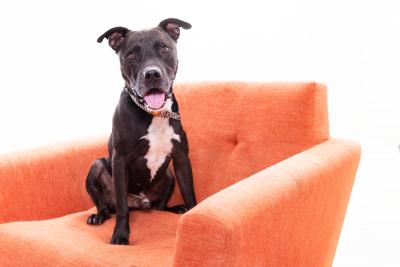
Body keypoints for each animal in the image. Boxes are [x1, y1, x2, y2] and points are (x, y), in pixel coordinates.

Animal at [85, 17, 197, 246]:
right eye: (131, 54)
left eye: (164, 48)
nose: (152, 74)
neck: (155, 114)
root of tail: (140, 202)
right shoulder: (119, 160)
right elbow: (121, 210)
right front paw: (120, 236)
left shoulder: (181, 159)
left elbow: (190, 195)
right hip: (97, 166)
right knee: (107, 206)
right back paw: (98, 216)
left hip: (169, 176)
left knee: (159, 206)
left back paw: (175, 208)